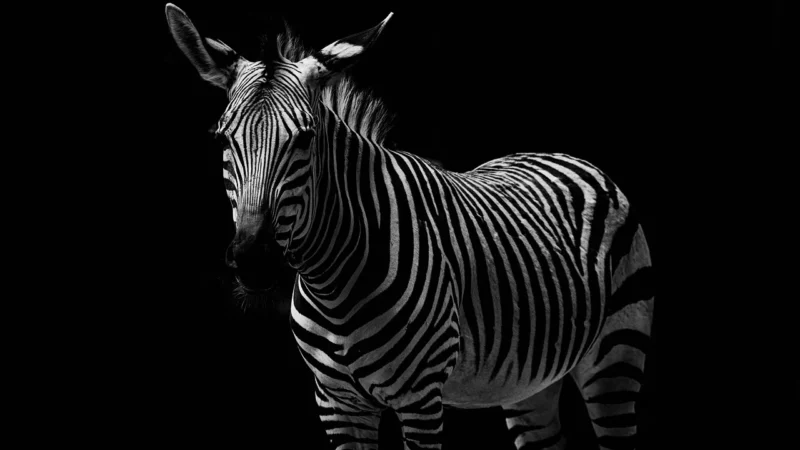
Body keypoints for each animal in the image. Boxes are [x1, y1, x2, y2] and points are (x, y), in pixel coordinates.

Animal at [165, 4, 654, 449]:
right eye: (222, 138)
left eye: (305, 138)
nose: (253, 260)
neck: (332, 281)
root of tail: (562, 153)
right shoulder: (337, 405)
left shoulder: (419, 399)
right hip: (531, 381)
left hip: (616, 357)